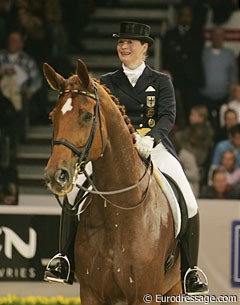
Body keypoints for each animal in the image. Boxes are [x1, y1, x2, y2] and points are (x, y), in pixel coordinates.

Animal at [43, 60, 180, 304]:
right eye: (52, 117)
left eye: (87, 116)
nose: (56, 175)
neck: (119, 210)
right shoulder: (91, 292)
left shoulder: (145, 293)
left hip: (173, 288)